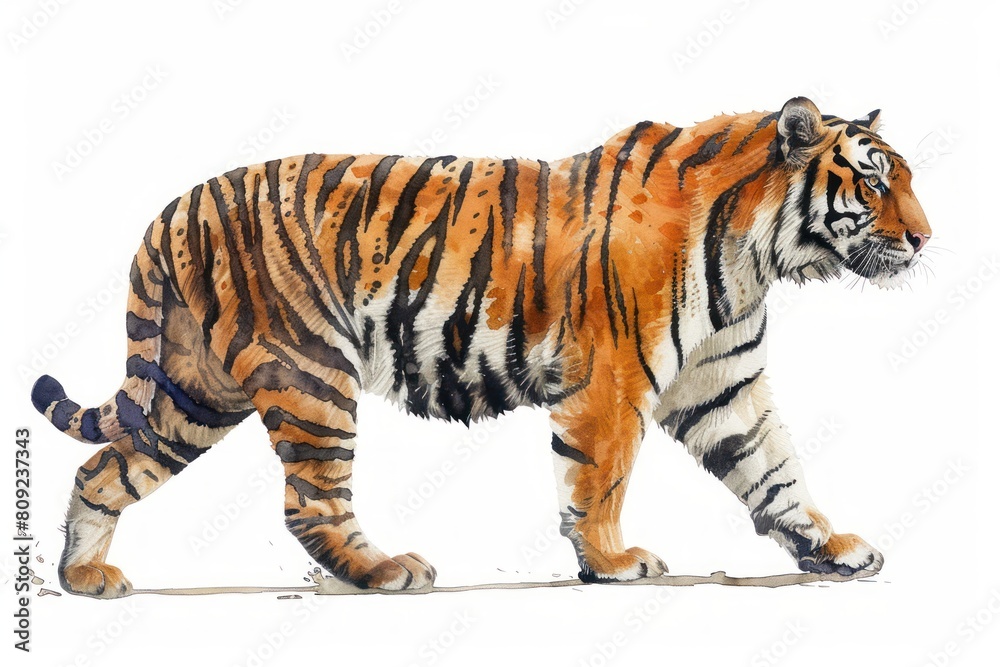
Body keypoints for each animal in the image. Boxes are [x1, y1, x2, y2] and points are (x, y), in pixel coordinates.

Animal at [31, 96, 931, 598]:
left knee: (105, 467)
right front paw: (611, 560)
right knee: (310, 500)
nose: (926, 238)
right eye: (875, 181)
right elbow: (600, 480)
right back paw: (387, 571)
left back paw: (82, 579)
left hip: (193, 390)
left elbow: (776, 471)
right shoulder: (610, 381)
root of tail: (174, 206)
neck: (757, 256)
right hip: (308, 372)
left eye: (907, 178)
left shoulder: (722, 381)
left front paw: (836, 549)